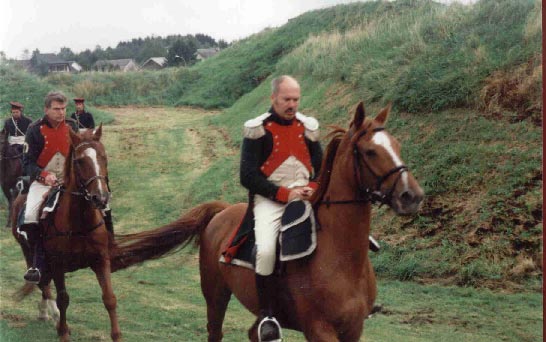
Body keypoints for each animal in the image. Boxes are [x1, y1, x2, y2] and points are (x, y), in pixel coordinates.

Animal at [11, 125, 120, 340]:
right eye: (79, 161)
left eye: (103, 157)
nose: (101, 198)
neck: (80, 223)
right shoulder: (57, 264)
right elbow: (63, 299)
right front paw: (63, 332)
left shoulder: (101, 260)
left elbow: (109, 298)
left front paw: (117, 335)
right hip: (29, 253)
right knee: (42, 283)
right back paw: (50, 314)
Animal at [108, 103, 422, 340]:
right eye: (370, 151)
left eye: (397, 145)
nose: (412, 196)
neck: (341, 256)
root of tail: (223, 211)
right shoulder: (319, 329)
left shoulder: (353, 330)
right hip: (215, 294)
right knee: (215, 331)